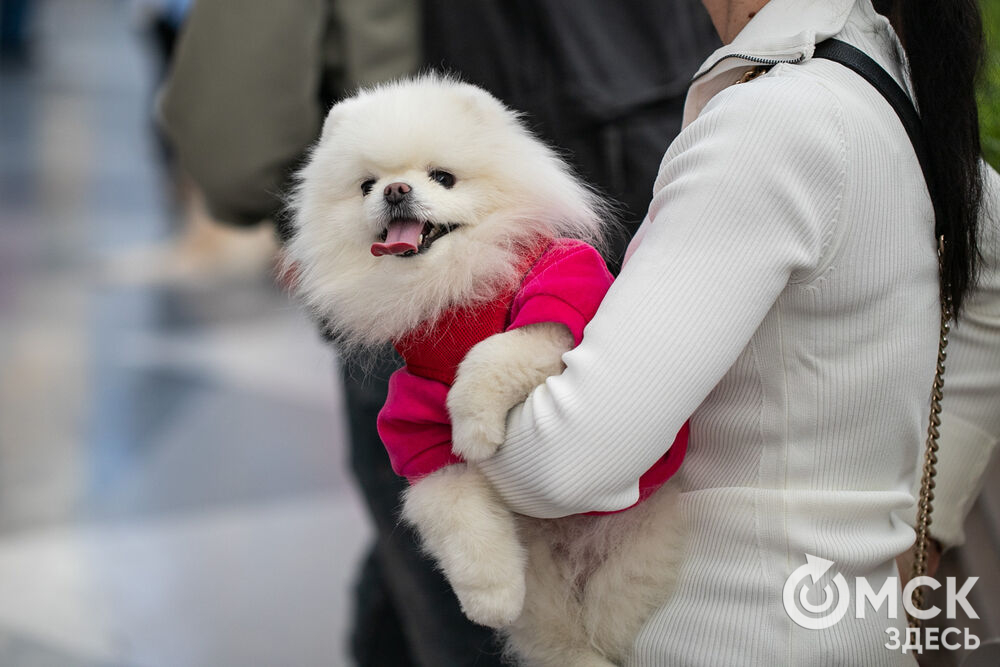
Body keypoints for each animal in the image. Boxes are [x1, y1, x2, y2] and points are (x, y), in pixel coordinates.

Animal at [286, 75, 684, 664]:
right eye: (366, 186)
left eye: (442, 177)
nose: (395, 191)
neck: (452, 288)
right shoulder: (414, 423)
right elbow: (457, 514)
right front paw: (489, 596)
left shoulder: (561, 309)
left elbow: (493, 353)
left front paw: (474, 426)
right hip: (547, 594)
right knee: (561, 636)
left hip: (637, 544)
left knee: (612, 613)